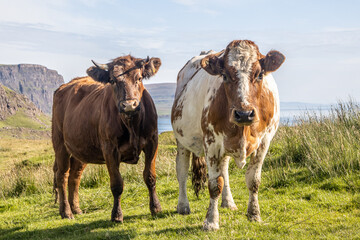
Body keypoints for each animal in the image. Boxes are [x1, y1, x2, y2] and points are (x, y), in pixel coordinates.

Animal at [52, 55, 162, 222]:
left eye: (139, 77)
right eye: (112, 80)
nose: (128, 105)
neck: (131, 124)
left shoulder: (152, 142)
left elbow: (150, 176)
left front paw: (155, 208)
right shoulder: (109, 149)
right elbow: (117, 184)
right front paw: (116, 215)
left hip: (80, 149)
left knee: (74, 176)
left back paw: (76, 208)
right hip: (60, 145)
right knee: (62, 175)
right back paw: (66, 212)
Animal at [170, 39, 286, 231]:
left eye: (260, 74)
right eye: (224, 76)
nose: (244, 114)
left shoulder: (264, 142)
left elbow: (253, 180)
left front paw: (254, 214)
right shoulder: (210, 143)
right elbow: (214, 184)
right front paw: (211, 221)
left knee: (224, 169)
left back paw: (228, 202)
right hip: (182, 140)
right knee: (182, 170)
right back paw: (183, 205)